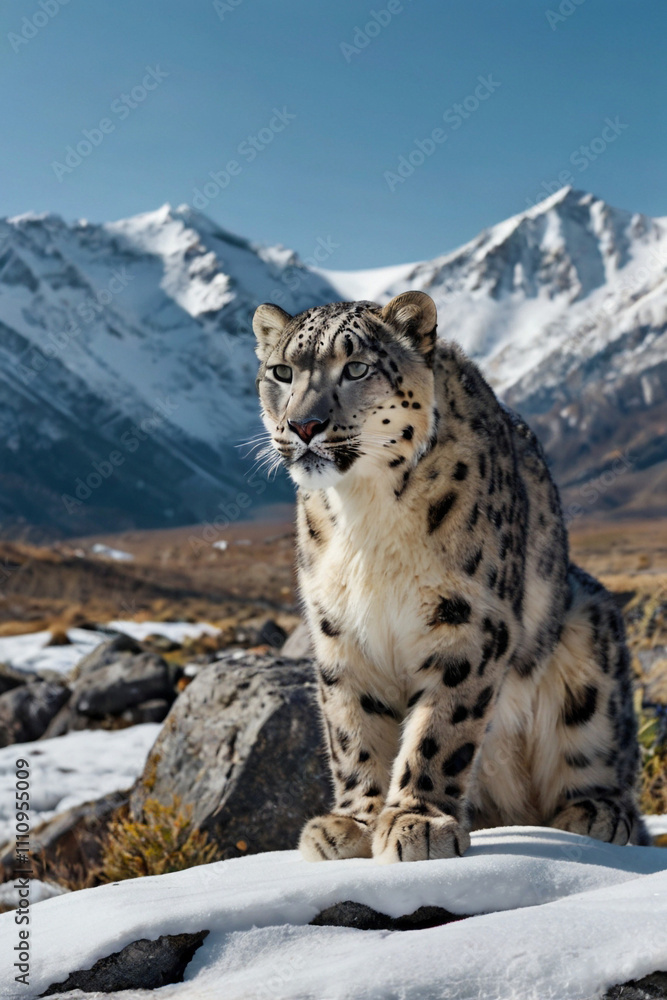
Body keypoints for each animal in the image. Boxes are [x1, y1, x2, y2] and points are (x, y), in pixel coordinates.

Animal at [252, 290, 649, 863]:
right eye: (281, 372)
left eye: (356, 367)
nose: (303, 425)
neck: (365, 515)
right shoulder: (339, 627)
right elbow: (353, 728)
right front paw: (353, 822)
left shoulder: (469, 621)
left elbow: (439, 730)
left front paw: (418, 822)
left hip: (590, 637)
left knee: (601, 753)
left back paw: (595, 813)